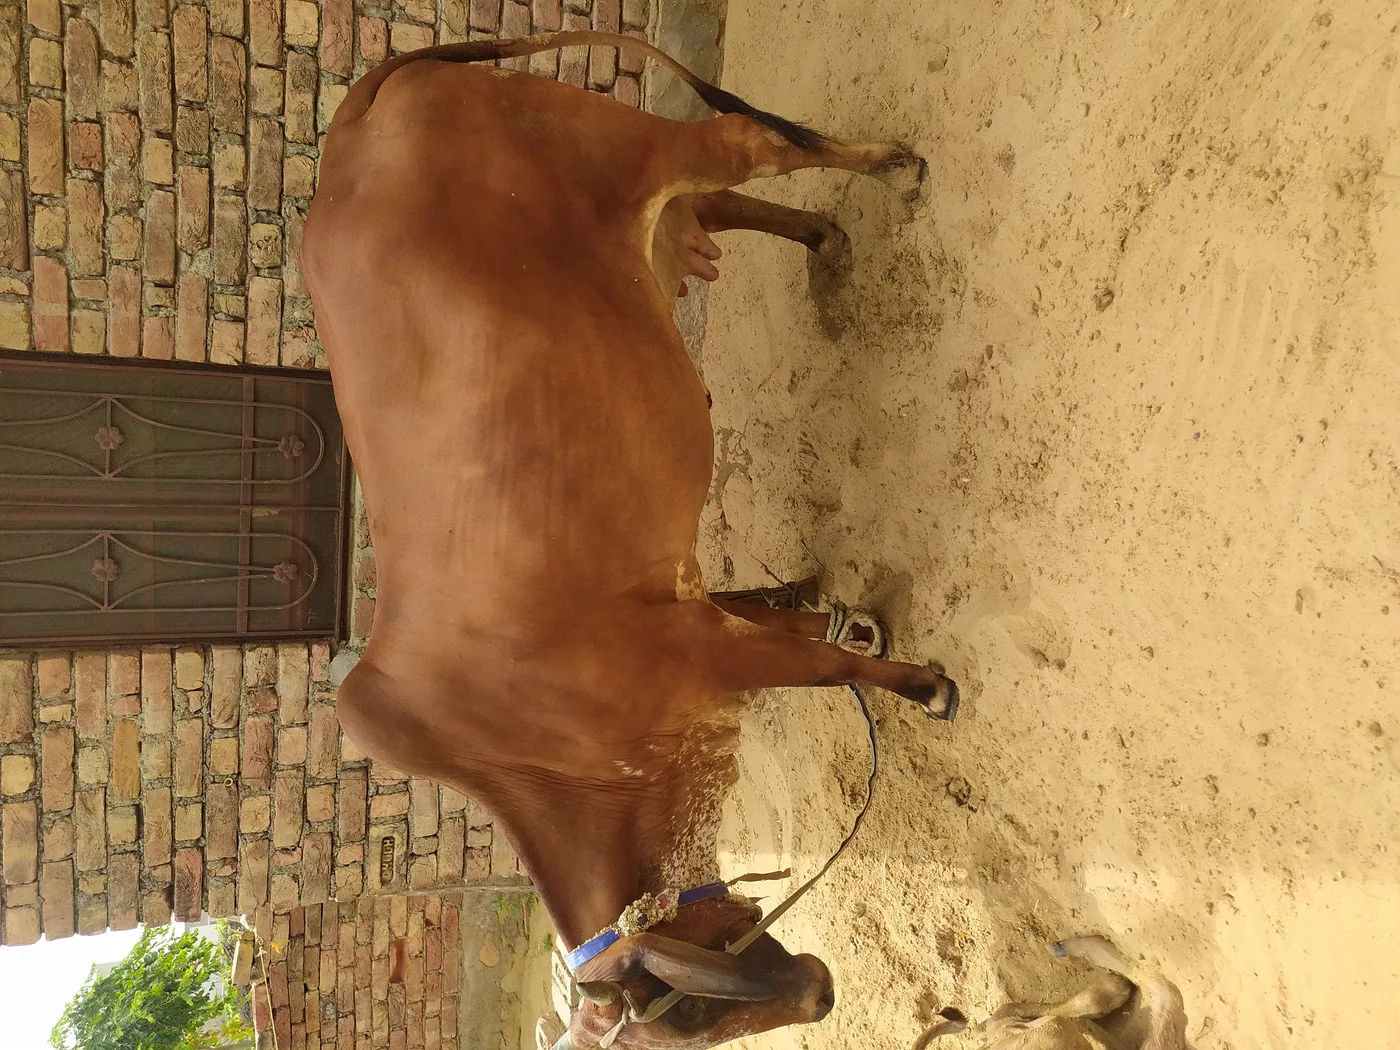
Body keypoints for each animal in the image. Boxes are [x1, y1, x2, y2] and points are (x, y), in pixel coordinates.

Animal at [303, 31, 959, 1050]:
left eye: (680, 1012)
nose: (821, 995)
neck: (546, 758)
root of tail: (355, 118)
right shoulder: (690, 600)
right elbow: (803, 627)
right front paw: (849, 617)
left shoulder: (700, 652)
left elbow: (825, 669)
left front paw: (926, 686)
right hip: (657, 206)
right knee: (728, 196)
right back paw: (829, 243)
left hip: (638, 146)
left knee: (751, 146)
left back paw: (890, 166)